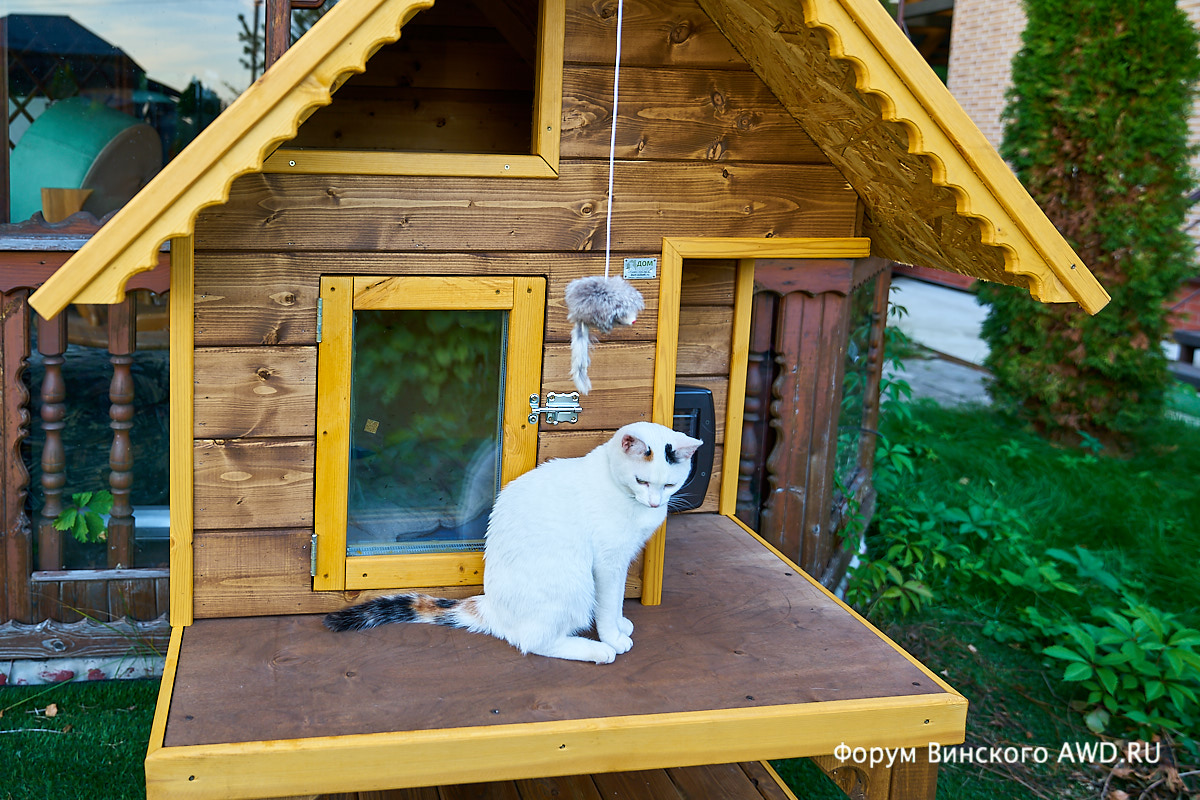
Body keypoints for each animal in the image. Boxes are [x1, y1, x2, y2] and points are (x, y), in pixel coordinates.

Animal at [328, 422, 700, 666]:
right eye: (641, 481)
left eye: (669, 485)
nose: (655, 502)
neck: (618, 487)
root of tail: (489, 606)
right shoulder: (608, 562)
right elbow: (609, 604)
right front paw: (613, 636)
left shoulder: (622, 560)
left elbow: (618, 600)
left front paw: (621, 623)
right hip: (573, 582)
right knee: (534, 642)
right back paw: (597, 651)